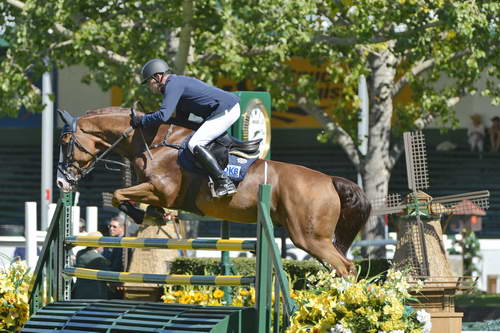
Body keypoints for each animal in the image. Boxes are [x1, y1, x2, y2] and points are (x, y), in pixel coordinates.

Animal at [57, 105, 372, 274]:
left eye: (65, 141)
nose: (61, 182)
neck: (151, 140)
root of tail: (328, 180)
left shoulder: (161, 189)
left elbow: (121, 196)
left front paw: (139, 216)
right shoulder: (155, 191)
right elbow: (130, 199)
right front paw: (155, 215)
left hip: (309, 237)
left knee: (345, 267)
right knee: (344, 266)